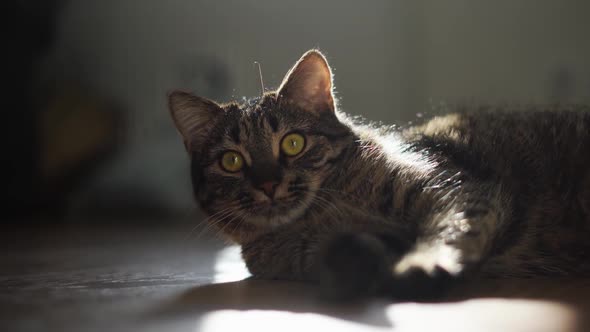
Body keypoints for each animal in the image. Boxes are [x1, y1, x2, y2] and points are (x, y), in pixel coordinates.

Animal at [166, 50, 590, 300]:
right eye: (232, 162)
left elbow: (450, 228)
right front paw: (359, 261)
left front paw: (422, 263)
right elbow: (338, 253)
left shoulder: (452, 187)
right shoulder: (300, 254)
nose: (268, 184)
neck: (323, 212)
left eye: (292, 143)